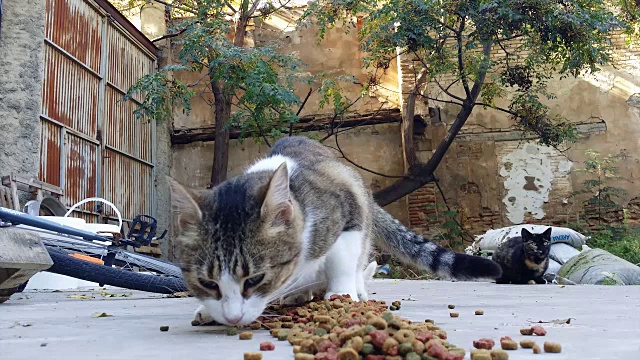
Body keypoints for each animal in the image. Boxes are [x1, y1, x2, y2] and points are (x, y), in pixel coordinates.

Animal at [169, 136, 500, 326]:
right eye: (207, 282)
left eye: (255, 279)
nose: (232, 318)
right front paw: (205, 310)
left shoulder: (347, 212)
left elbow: (342, 260)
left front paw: (342, 294)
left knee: (359, 261)